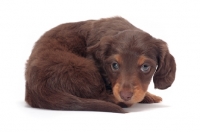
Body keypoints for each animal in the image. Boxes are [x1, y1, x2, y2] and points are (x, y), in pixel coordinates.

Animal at [24, 17, 175, 113]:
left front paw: (149, 96)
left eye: (145, 67)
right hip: (83, 68)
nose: (125, 96)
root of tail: (35, 89)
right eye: (114, 65)